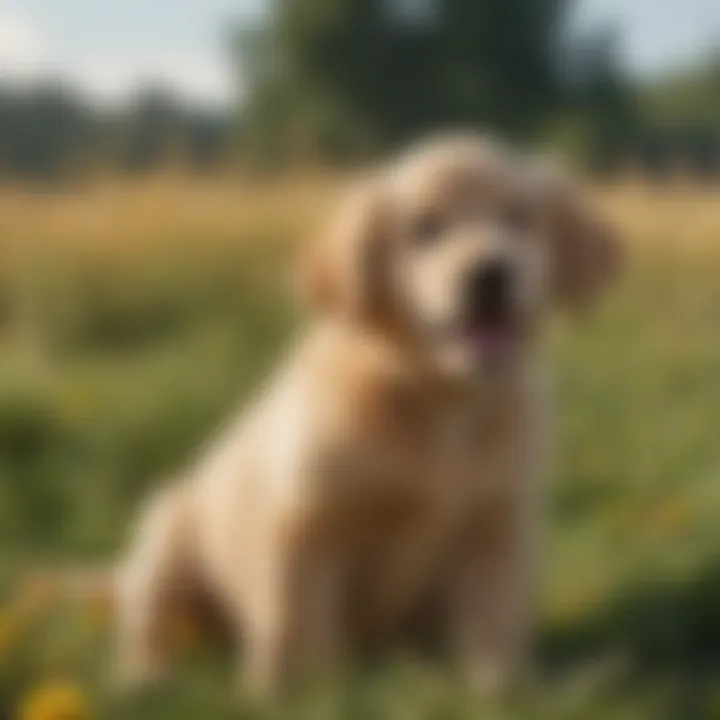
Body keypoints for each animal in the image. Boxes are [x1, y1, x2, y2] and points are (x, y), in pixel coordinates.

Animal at [114, 132, 620, 696]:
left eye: (519, 218)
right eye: (426, 228)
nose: (491, 273)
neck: (440, 401)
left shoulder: (498, 524)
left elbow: (493, 623)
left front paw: (502, 690)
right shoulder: (307, 523)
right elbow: (297, 624)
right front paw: (295, 695)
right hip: (165, 535)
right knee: (149, 623)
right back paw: (145, 677)